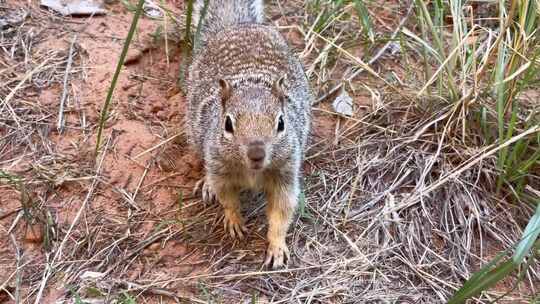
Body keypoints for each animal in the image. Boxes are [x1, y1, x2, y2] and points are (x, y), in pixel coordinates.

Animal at [186, 0, 312, 268]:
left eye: (281, 123)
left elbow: (282, 212)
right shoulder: (220, 170)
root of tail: (238, 25)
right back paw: (206, 185)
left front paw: (276, 247)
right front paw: (234, 220)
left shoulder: (286, 175)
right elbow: (227, 198)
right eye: (227, 124)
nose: (256, 153)